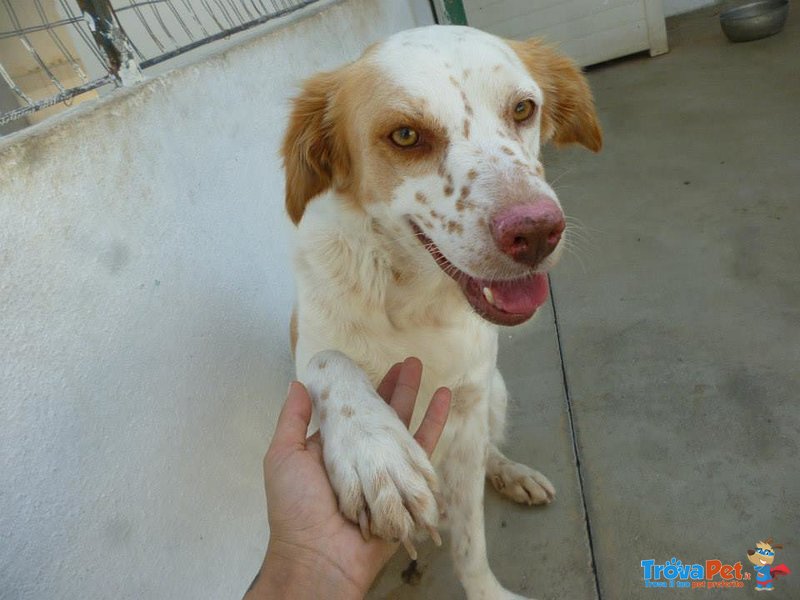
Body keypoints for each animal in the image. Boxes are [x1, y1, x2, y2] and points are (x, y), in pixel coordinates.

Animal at [282, 24, 600, 600]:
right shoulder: (306, 345)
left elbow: (472, 540)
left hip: (496, 391)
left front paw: (487, 590)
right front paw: (375, 453)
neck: (416, 299)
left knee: (486, 456)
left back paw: (511, 474)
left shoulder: (470, 401)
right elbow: (328, 362)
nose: (537, 231)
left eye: (523, 108)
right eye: (406, 135)